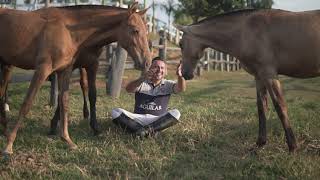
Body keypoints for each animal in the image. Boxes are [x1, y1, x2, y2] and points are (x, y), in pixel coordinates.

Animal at [0, 2, 152, 155]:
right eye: (135, 30)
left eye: (146, 31)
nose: (147, 62)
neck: (68, 30)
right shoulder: (43, 69)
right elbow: (27, 103)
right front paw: (9, 145)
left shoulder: (66, 70)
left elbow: (65, 102)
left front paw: (67, 139)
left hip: (6, 66)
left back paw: (4, 130)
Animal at [176, 8, 320, 152]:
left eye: (181, 44)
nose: (185, 73)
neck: (247, 31)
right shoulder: (259, 76)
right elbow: (261, 107)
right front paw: (260, 143)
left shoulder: (269, 74)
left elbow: (280, 106)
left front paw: (292, 147)